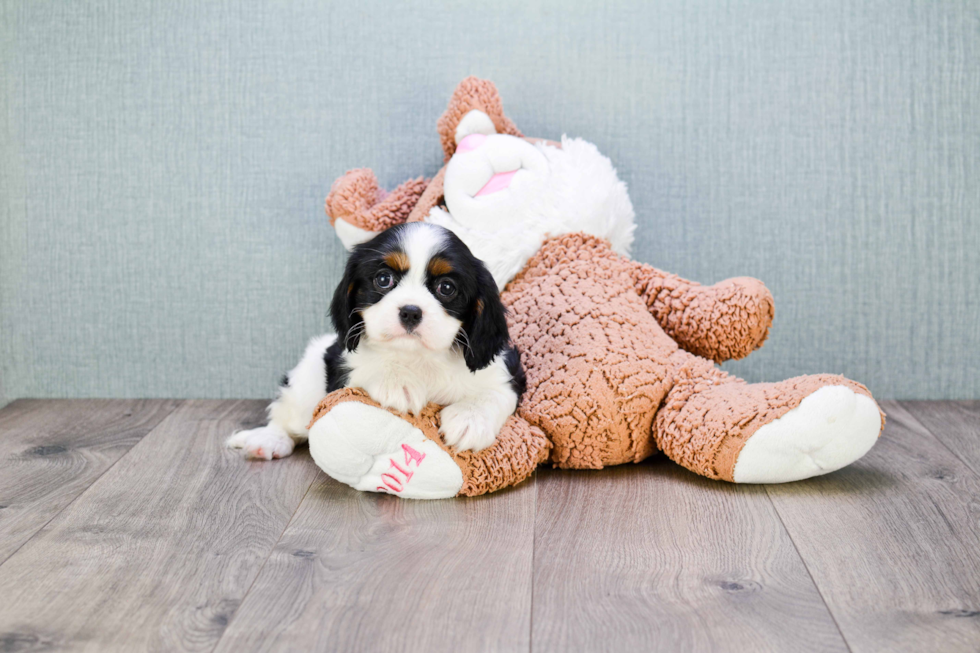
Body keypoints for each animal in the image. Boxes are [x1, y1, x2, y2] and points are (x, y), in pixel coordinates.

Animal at [227, 222, 524, 460]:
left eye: (447, 288)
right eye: (383, 279)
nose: (410, 311)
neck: (419, 358)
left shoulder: (505, 372)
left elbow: (494, 393)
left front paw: (469, 420)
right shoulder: (345, 366)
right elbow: (369, 366)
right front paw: (397, 382)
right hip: (306, 384)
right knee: (286, 419)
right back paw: (268, 440)